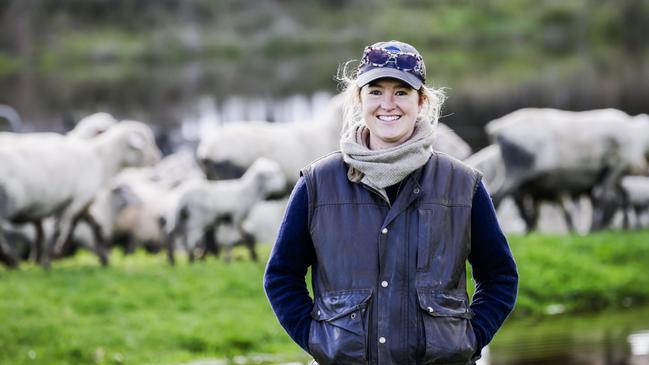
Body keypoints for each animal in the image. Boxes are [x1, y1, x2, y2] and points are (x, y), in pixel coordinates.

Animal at [0, 121, 161, 266]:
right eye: (147, 142)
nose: (157, 158)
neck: (100, 159)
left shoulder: (84, 203)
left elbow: (95, 226)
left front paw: (104, 259)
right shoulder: (76, 200)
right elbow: (60, 230)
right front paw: (49, 260)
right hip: (8, 200)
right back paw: (12, 261)